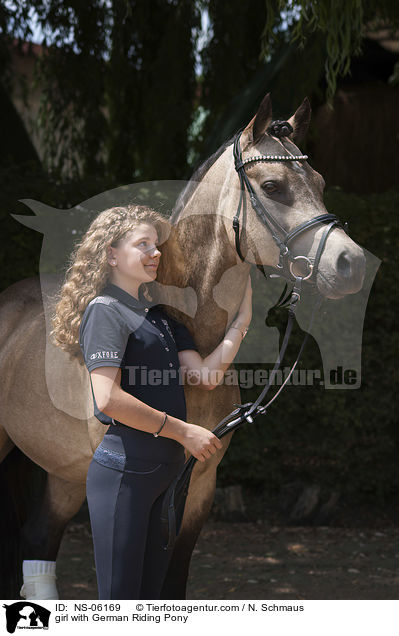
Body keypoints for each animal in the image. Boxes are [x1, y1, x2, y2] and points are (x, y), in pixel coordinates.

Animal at [0, 92, 366, 600]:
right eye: (273, 186)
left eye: (321, 182)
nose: (350, 263)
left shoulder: (199, 487)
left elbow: (170, 583)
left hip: (64, 473)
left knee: (39, 540)